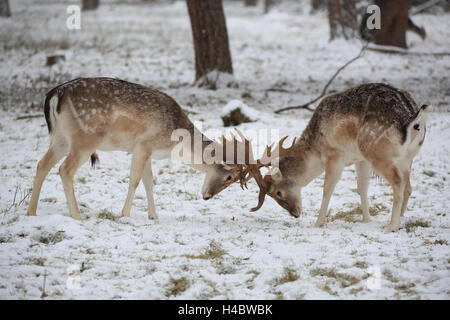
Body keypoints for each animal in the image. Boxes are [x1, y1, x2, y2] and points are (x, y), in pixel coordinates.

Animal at [27, 77, 250, 221]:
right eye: (229, 177)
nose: (207, 197)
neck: (175, 142)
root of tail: (54, 95)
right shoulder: (143, 144)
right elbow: (134, 180)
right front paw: (124, 214)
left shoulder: (145, 151)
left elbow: (149, 182)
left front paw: (153, 216)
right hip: (86, 139)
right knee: (65, 170)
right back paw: (77, 216)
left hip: (61, 138)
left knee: (42, 164)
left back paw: (31, 212)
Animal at [244, 84, 430, 231]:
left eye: (278, 192)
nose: (295, 214)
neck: (316, 151)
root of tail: (411, 122)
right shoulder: (360, 159)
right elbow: (362, 187)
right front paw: (366, 219)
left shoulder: (335, 155)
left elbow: (327, 189)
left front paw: (318, 223)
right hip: (405, 157)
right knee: (408, 187)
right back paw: (401, 219)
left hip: (378, 153)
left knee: (398, 182)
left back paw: (392, 226)